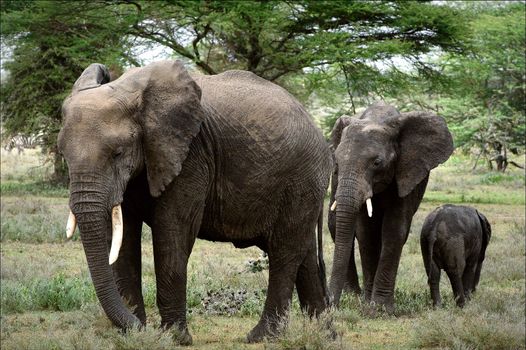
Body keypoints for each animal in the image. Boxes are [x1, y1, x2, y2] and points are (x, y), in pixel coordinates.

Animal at [58, 60, 330, 344]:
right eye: (63, 154)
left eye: (117, 153)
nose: (139, 326)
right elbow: (123, 240)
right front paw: (133, 335)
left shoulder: (191, 154)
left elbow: (173, 232)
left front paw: (174, 338)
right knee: (305, 254)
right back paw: (323, 333)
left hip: (302, 180)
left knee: (284, 252)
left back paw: (261, 336)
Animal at [328, 102, 456, 312]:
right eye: (337, 162)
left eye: (377, 162)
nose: (331, 304)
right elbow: (366, 232)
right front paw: (368, 303)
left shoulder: (407, 171)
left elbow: (394, 230)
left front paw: (380, 308)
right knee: (334, 225)